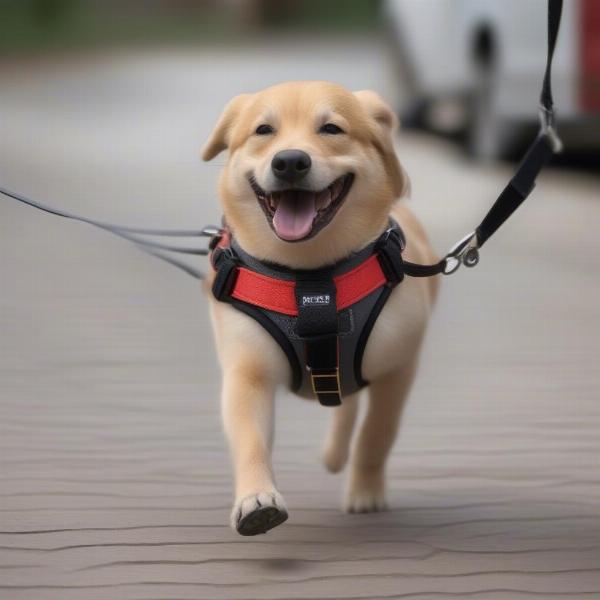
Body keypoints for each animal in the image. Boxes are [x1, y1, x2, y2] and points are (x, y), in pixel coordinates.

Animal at [202, 79, 440, 536]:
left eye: (332, 129)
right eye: (263, 131)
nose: (290, 162)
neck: (311, 278)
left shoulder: (398, 368)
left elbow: (376, 435)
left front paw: (365, 493)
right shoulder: (247, 371)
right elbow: (249, 436)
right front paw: (256, 499)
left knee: (349, 407)